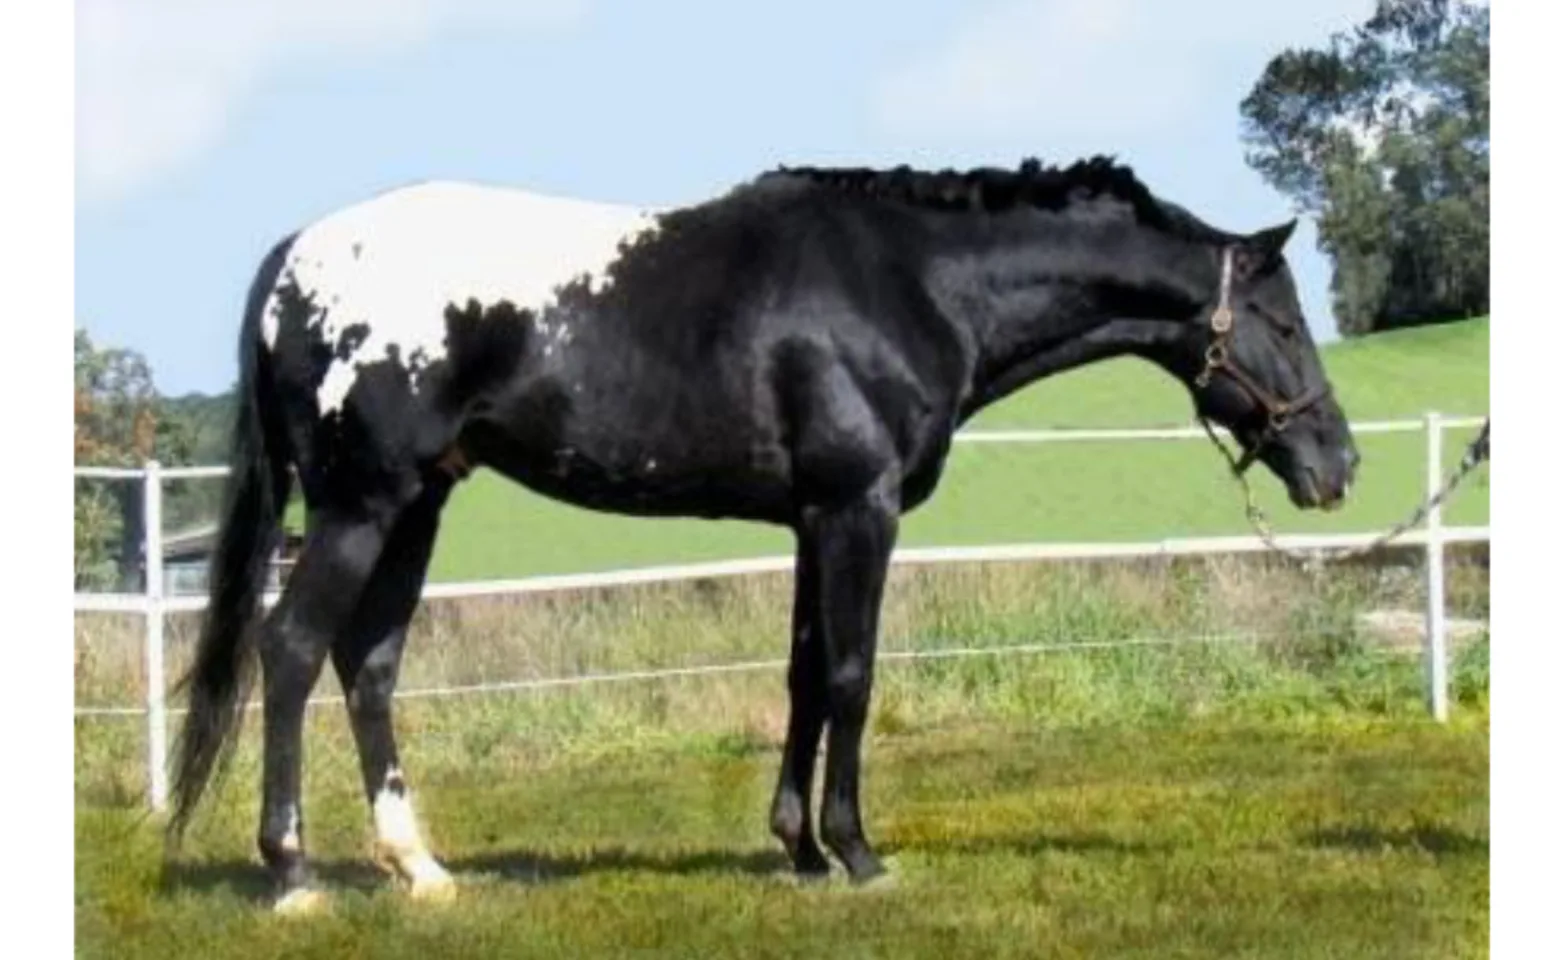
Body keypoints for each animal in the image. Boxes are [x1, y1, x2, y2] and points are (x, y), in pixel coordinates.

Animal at [161, 156, 1357, 913]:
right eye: (1283, 319)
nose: (1335, 464)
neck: (911, 283)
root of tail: (298, 256)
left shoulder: (809, 520)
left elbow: (803, 675)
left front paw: (802, 851)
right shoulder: (858, 509)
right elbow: (854, 677)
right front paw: (860, 854)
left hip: (417, 507)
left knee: (369, 667)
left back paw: (422, 871)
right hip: (361, 507)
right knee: (291, 651)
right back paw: (293, 877)